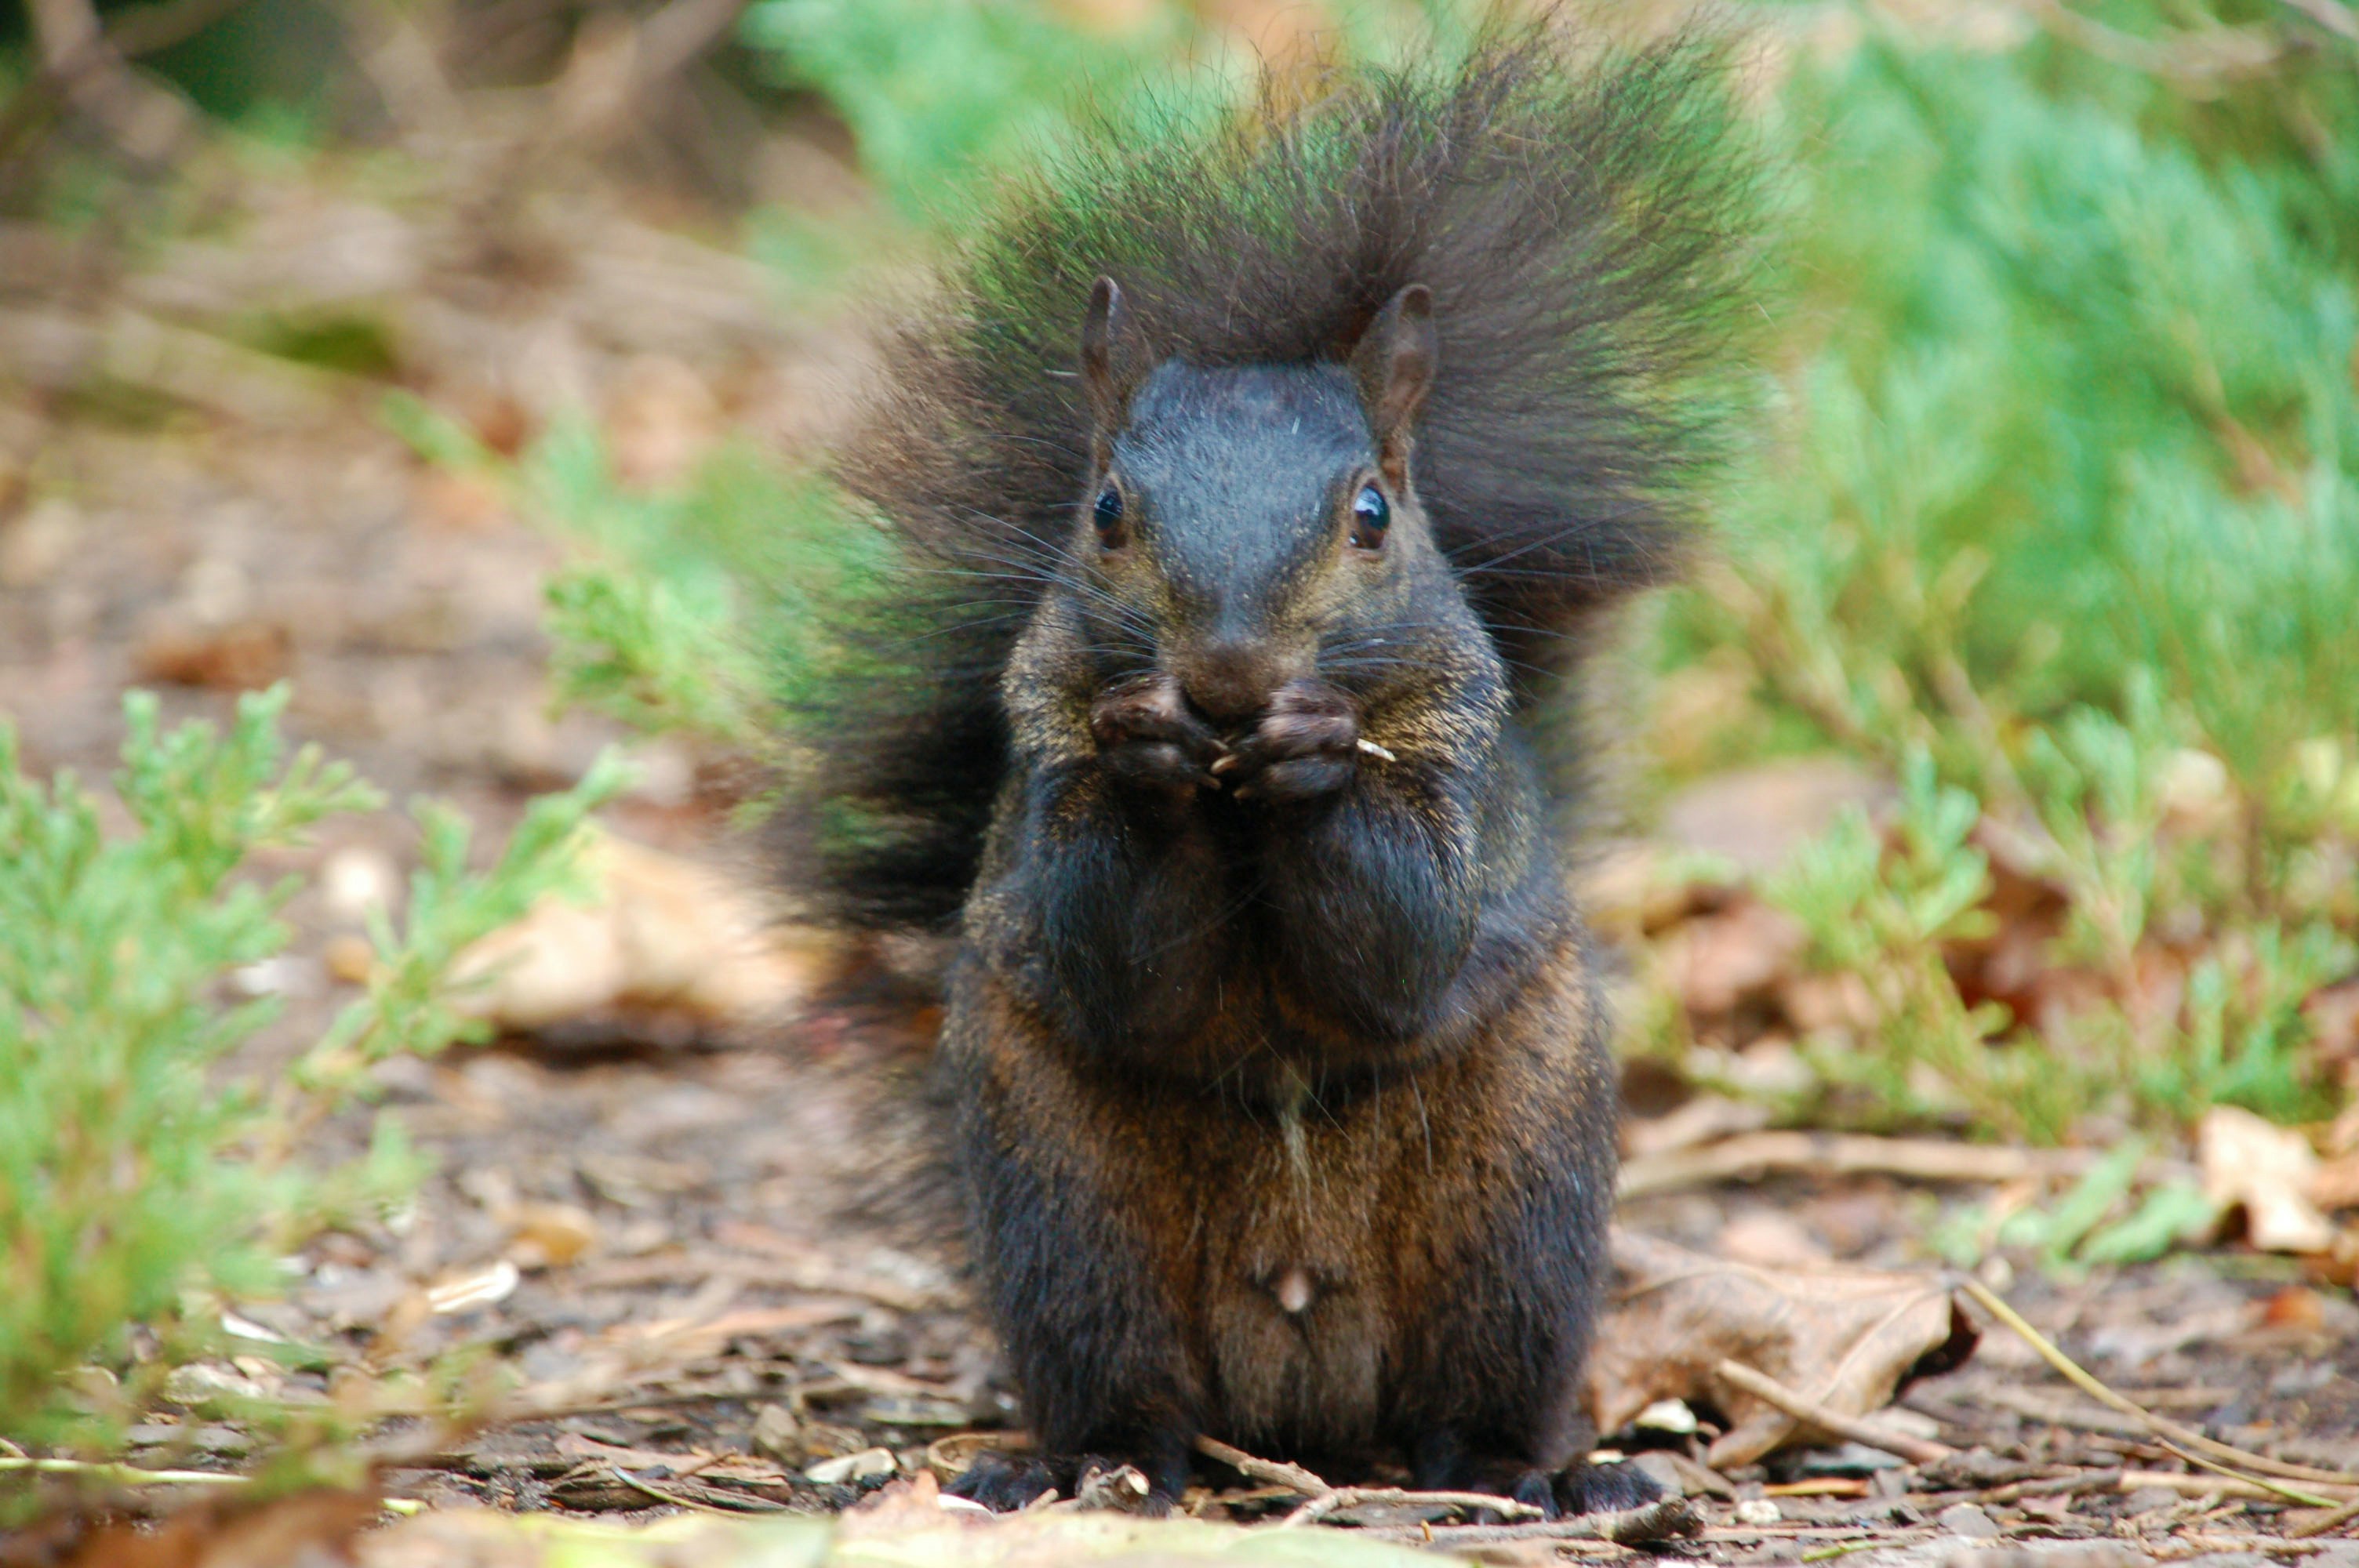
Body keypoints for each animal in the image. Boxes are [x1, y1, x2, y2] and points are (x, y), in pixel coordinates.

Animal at [781, 19, 1761, 1517]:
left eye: (1372, 513)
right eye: (1104, 511)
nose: (1232, 675)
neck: (1234, 806)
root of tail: (1300, 1364)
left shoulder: (1459, 758)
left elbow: (1402, 945)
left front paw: (1316, 758)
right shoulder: (1044, 750)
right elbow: (1114, 952)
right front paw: (1149, 752)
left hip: (1511, 1219)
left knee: (1472, 1387)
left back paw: (1527, 1471)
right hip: (1071, 1218)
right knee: (1128, 1383)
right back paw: (1087, 1463)